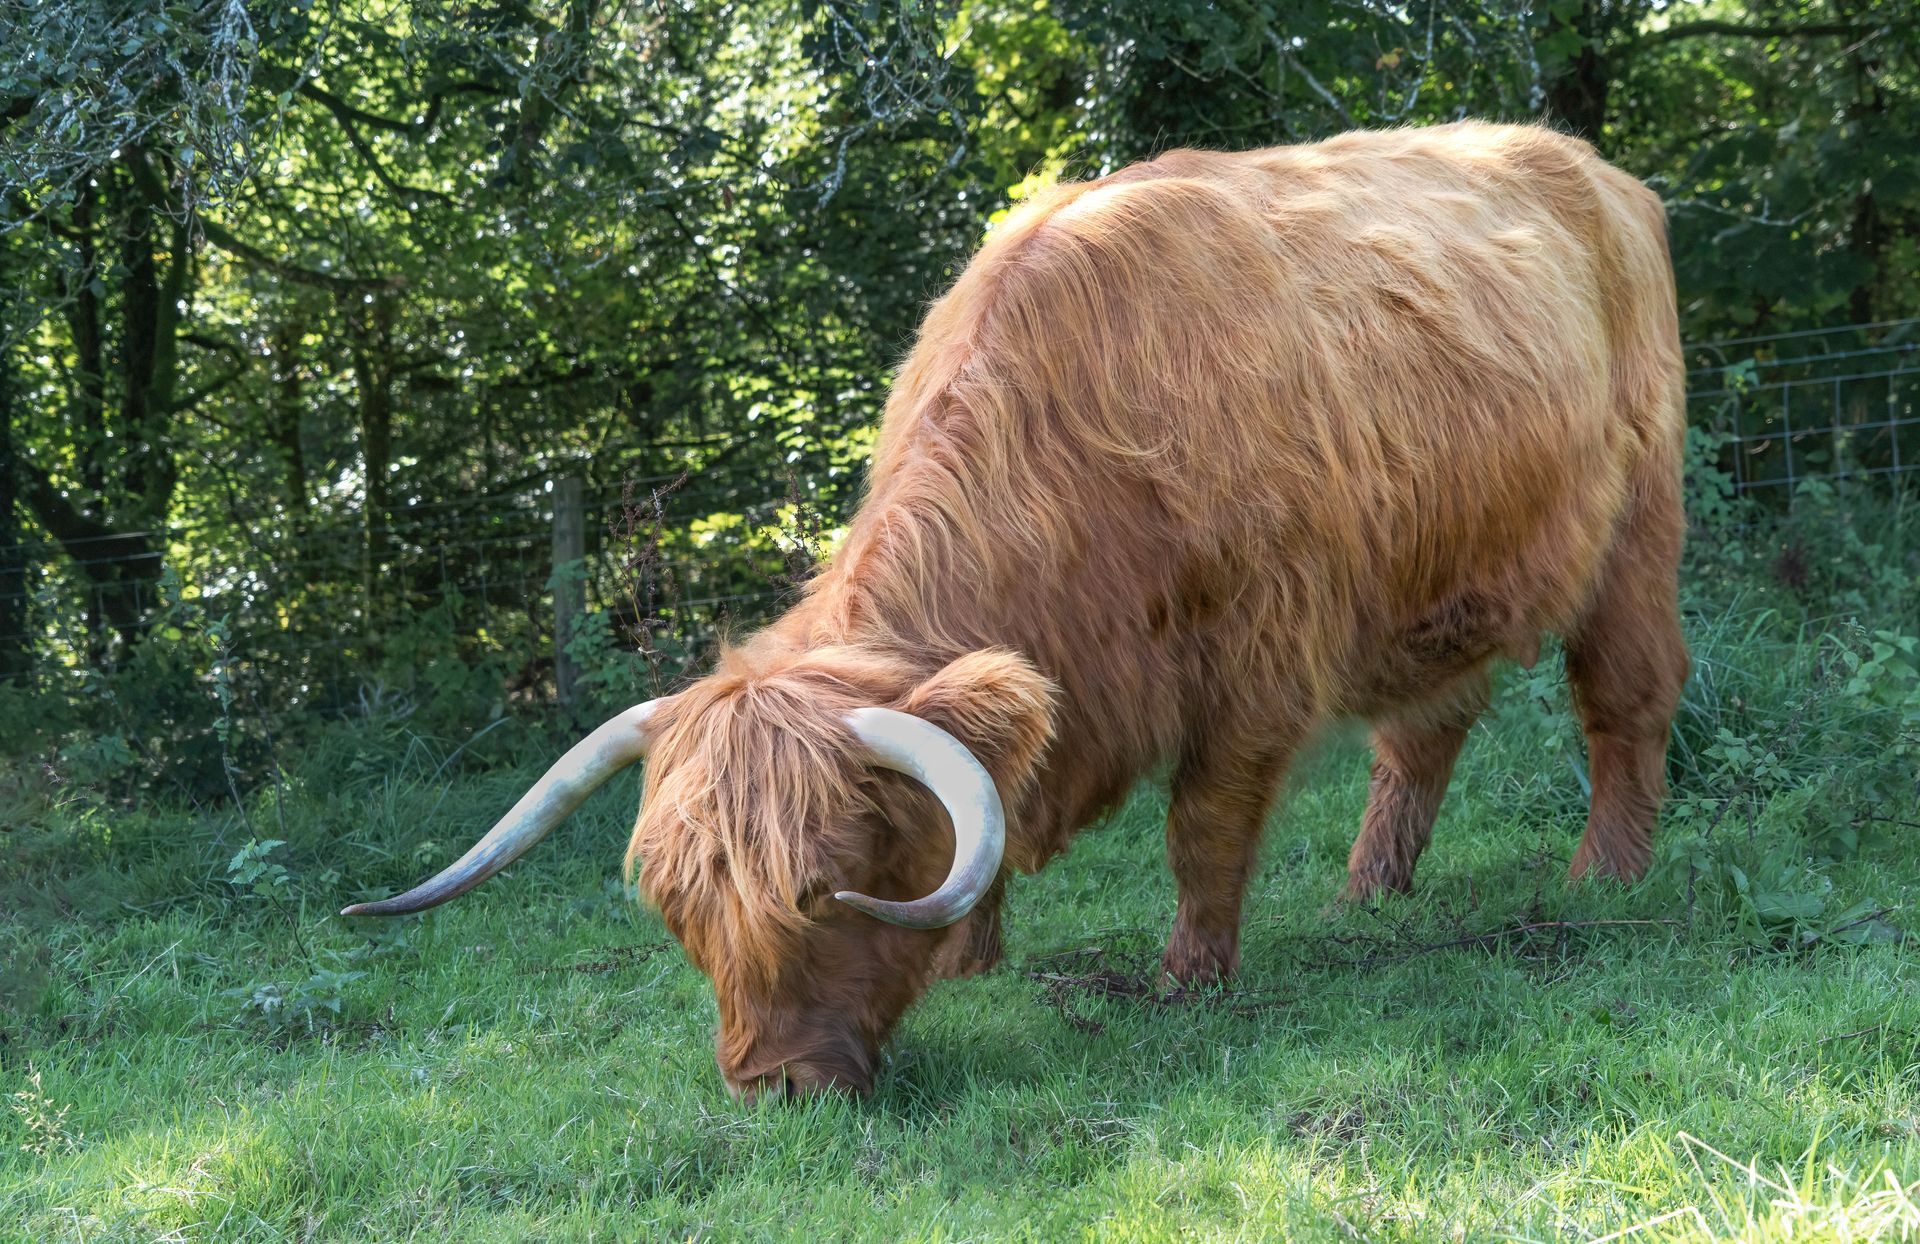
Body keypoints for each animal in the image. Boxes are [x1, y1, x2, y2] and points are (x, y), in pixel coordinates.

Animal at [343, 121, 1690, 1102]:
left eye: (821, 889)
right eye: (681, 908)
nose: (772, 1087)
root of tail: (1589, 165)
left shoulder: (1254, 666)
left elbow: (1203, 832)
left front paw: (1188, 981)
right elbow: (980, 812)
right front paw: (970, 957)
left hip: (1638, 531)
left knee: (1624, 700)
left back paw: (1608, 876)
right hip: (1445, 588)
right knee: (1424, 731)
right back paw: (1370, 891)